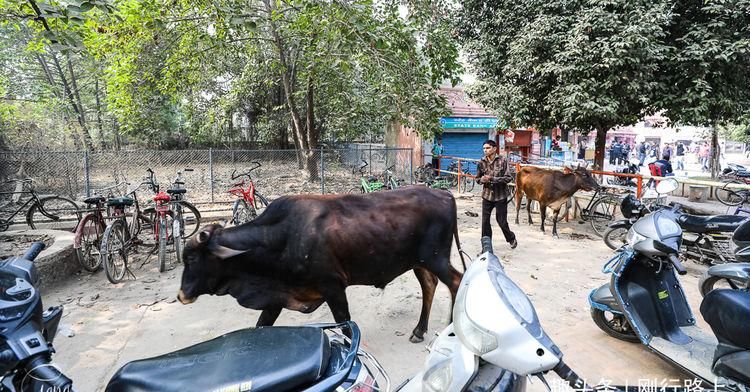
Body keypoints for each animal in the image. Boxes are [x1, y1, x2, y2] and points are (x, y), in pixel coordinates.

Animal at [178, 187, 468, 344]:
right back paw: (419, 330)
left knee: (456, 281)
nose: (181, 295)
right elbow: (263, 324)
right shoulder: (277, 296)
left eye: (191, 258)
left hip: (436, 258)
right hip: (419, 262)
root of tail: (444, 193)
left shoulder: (333, 286)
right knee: (429, 285)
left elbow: (346, 324)